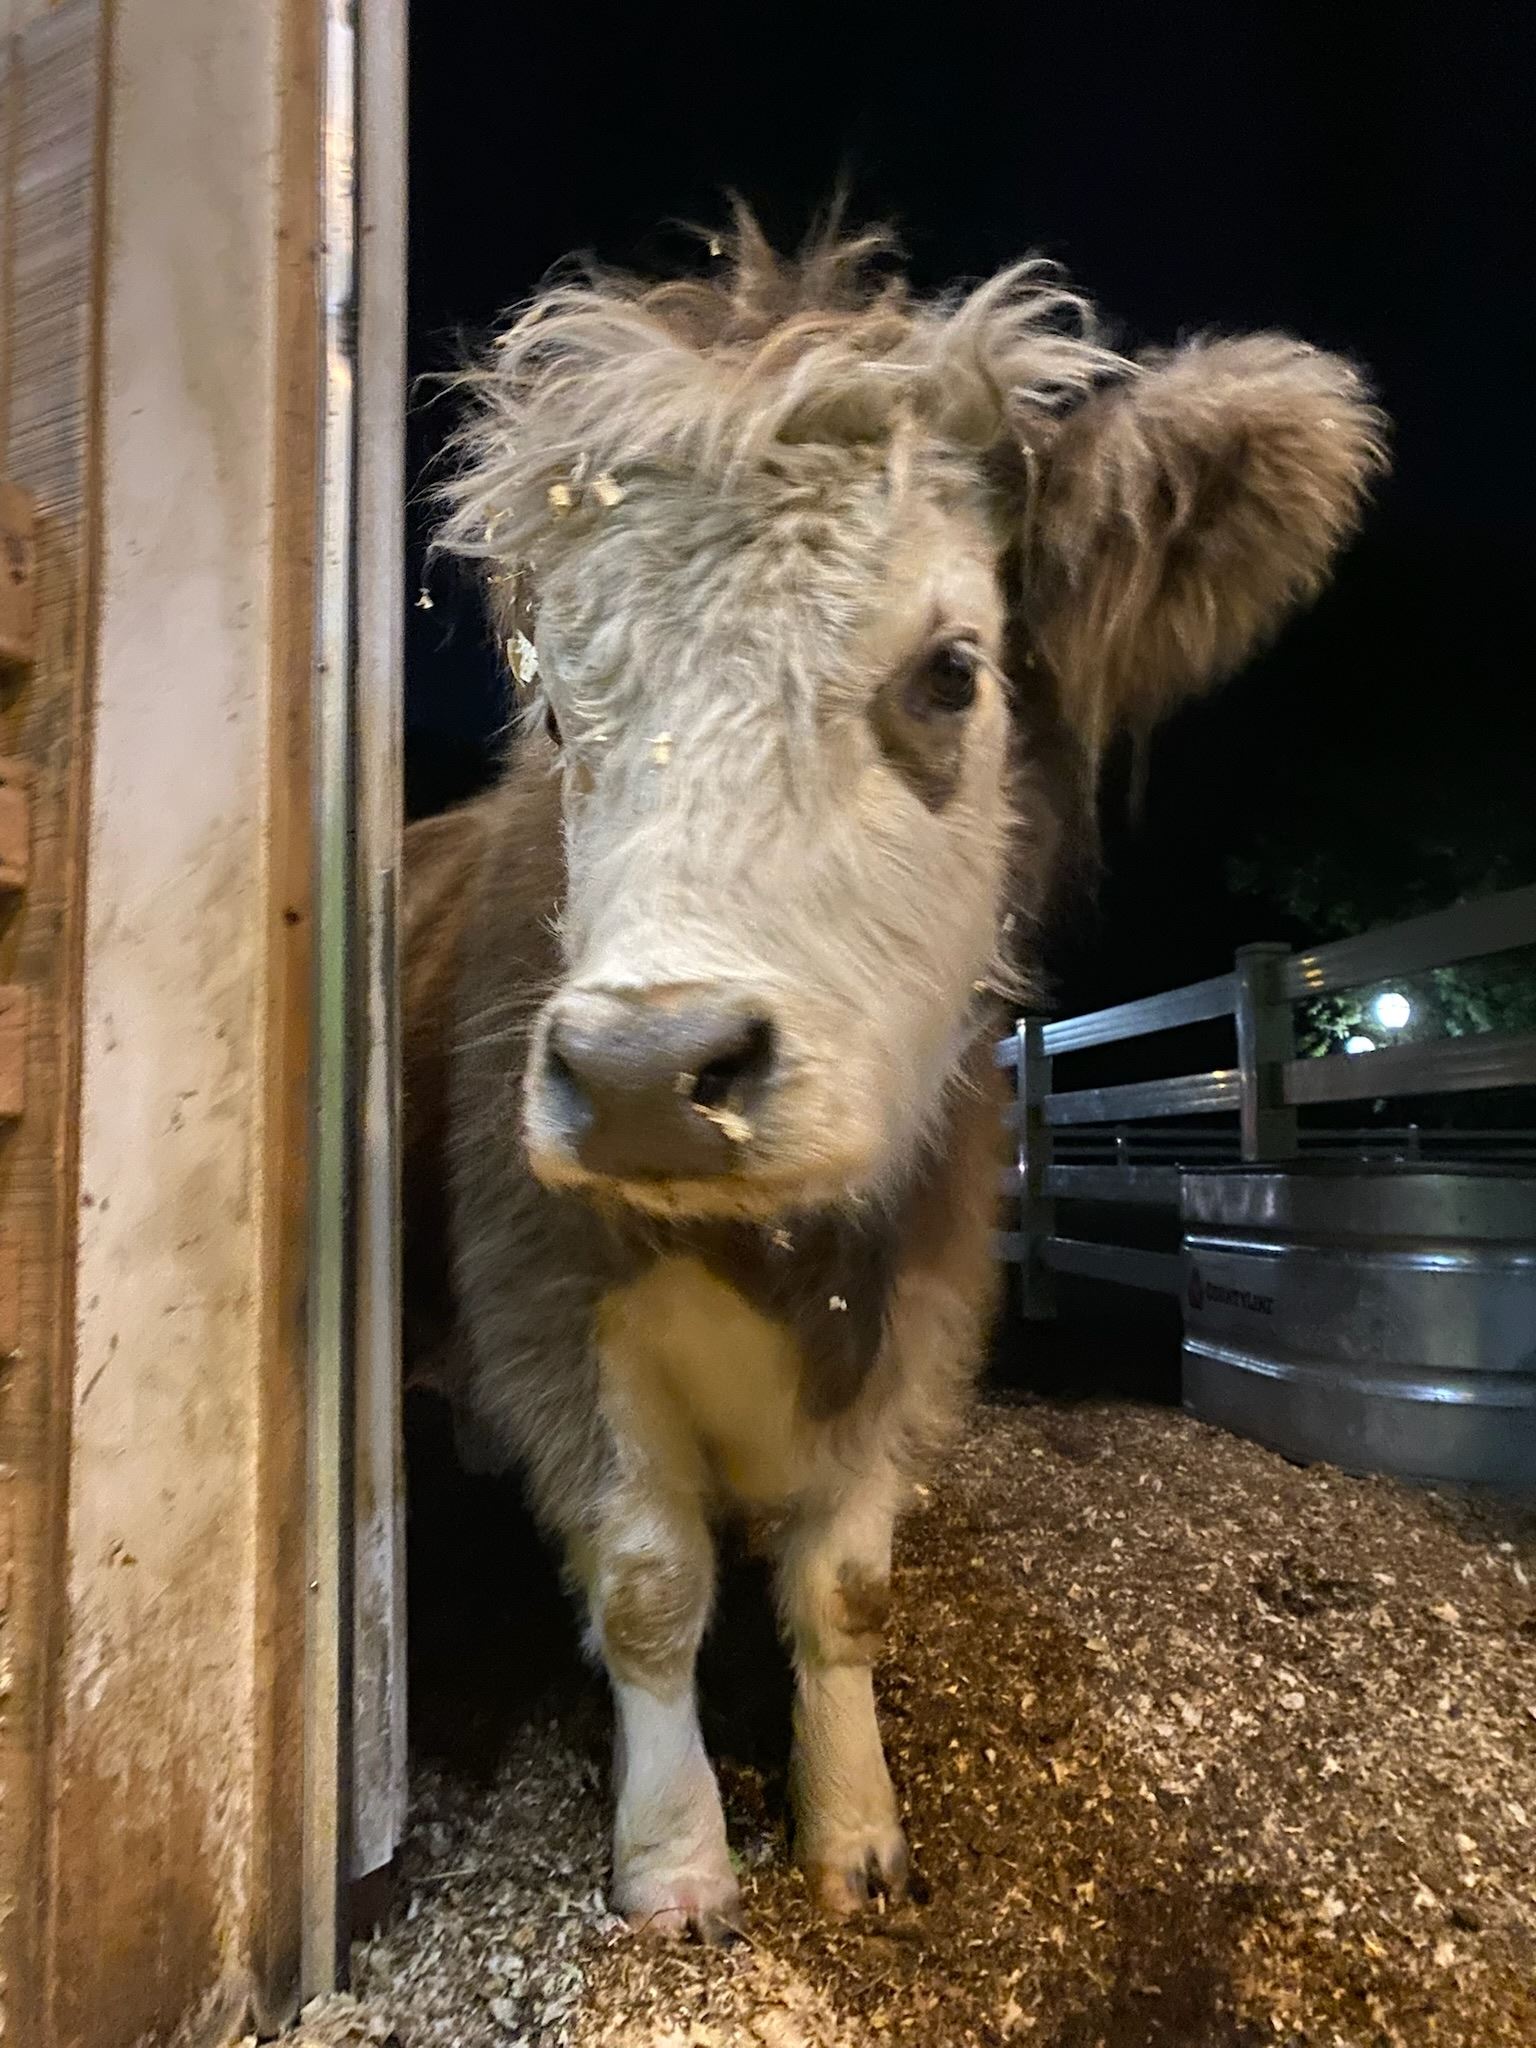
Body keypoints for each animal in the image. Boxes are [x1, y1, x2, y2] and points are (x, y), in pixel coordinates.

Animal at [402, 208, 1385, 1941]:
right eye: (559, 709)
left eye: (948, 674)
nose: (647, 1071)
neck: (778, 1257)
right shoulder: (546, 1310)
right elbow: (649, 1586)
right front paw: (676, 1863)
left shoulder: (921, 1311)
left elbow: (844, 1591)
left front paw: (854, 1834)